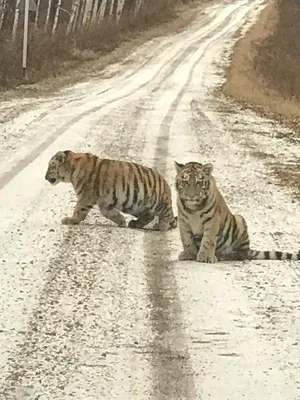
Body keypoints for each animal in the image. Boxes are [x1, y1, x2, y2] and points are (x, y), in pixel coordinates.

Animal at [44, 151, 176, 231]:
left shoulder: (85, 197)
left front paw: (70, 220)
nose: (45, 177)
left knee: (167, 215)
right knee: (149, 216)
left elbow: (78, 211)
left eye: (51, 166)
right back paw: (135, 224)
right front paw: (121, 221)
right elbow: (109, 213)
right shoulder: (104, 202)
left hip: (158, 204)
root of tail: (165, 183)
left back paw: (161, 226)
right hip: (136, 205)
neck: (71, 171)